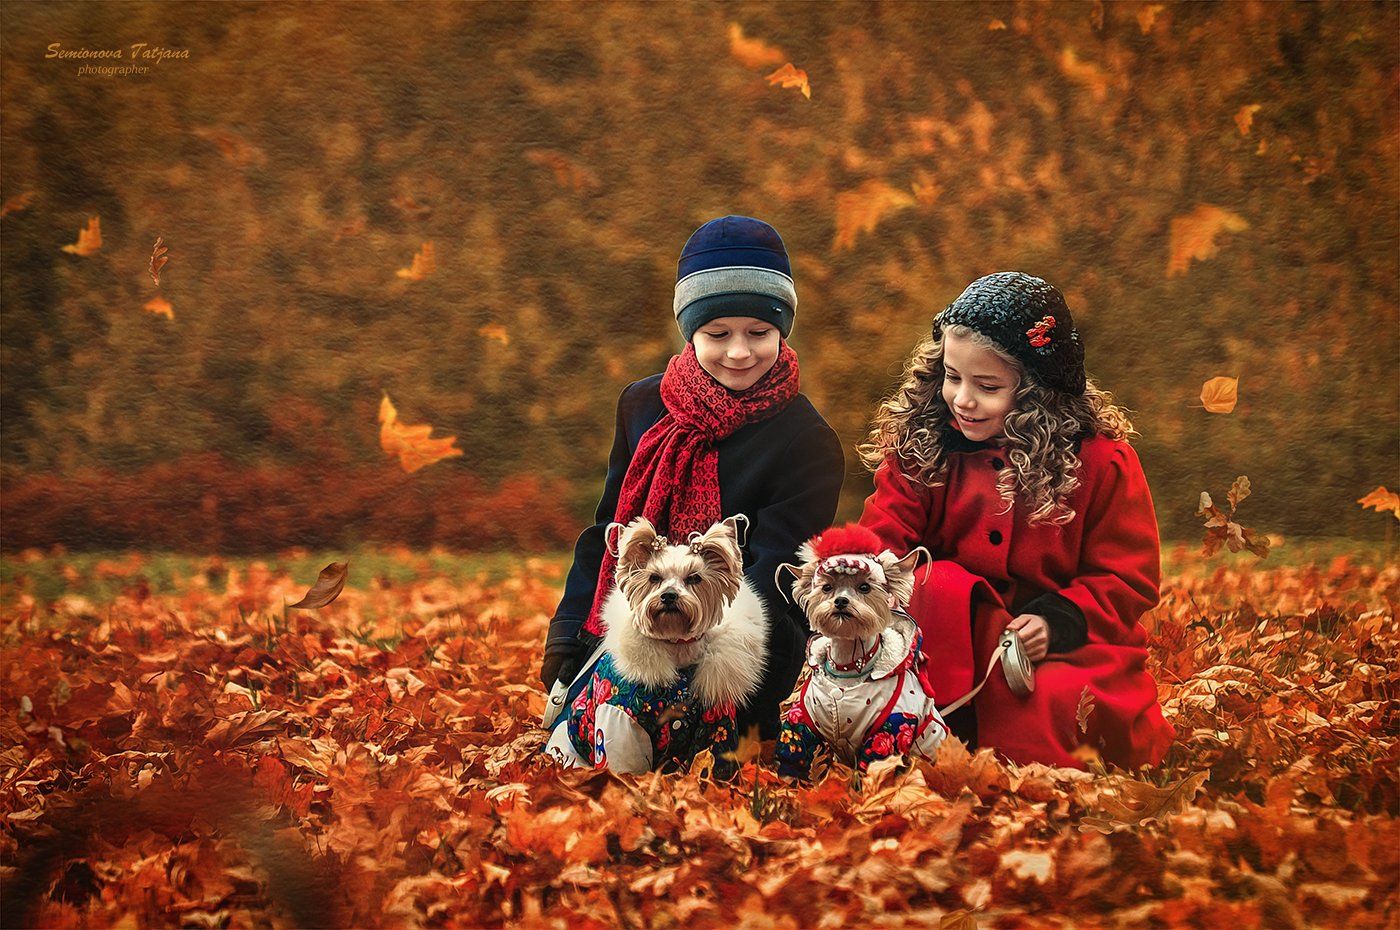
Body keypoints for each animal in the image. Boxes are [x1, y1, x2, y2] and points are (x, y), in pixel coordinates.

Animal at [543, 515, 767, 778]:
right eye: (654, 578)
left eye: (694, 578)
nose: (669, 595)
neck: (675, 645)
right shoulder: (619, 718)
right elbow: (624, 762)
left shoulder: (715, 721)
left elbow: (710, 759)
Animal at [772, 523, 946, 778]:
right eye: (827, 588)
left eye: (865, 587)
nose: (841, 601)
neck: (847, 669)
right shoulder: (802, 717)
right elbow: (794, 753)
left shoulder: (891, 728)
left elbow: (873, 768)